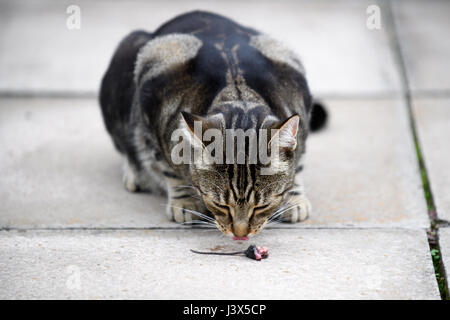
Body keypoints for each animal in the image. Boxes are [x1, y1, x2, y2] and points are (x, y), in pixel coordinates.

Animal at [100, 10, 326, 238]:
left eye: (261, 207)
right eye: (220, 205)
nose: (240, 234)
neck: (237, 91)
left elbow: (297, 164)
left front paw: (294, 197)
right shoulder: (151, 101)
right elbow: (167, 167)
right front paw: (185, 200)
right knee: (127, 145)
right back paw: (136, 173)